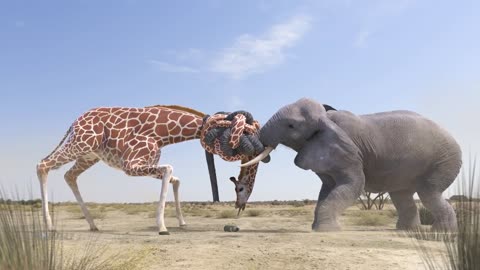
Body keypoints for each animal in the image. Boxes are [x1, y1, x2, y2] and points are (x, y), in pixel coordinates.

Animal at [36, 104, 255, 235]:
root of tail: (75, 122)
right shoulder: (130, 165)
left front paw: (181, 222)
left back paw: (93, 225)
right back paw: (49, 226)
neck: (163, 133)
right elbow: (169, 169)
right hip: (80, 144)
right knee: (42, 165)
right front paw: (163, 227)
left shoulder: (143, 163)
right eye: (234, 129)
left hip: (89, 155)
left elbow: (175, 179)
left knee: (69, 175)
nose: (250, 146)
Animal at [242, 98, 464, 231]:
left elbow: (354, 185)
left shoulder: (347, 151)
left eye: (291, 126)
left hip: (444, 160)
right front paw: (318, 228)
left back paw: (441, 232)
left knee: (428, 192)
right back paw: (407, 230)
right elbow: (327, 189)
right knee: (401, 196)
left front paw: (326, 231)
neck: (326, 118)